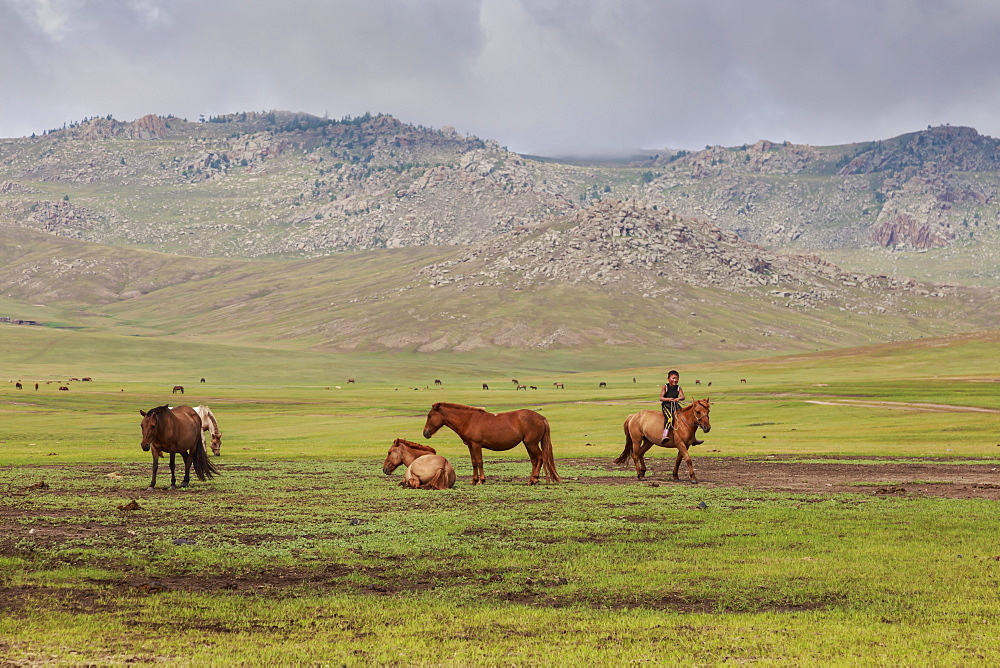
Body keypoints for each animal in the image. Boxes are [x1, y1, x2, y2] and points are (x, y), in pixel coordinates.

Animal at [422, 402, 564, 486]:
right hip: (528, 444)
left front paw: (481, 480)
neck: (468, 420)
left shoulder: (476, 444)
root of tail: (541, 418)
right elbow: (474, 462)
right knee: (535, 460)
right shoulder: (470, 445)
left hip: (531, 444)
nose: (425, 433)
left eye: (429, 416)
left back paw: (534, 479)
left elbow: (479, 462)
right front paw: (473, 481)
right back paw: (531, 480)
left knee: (540, 458)